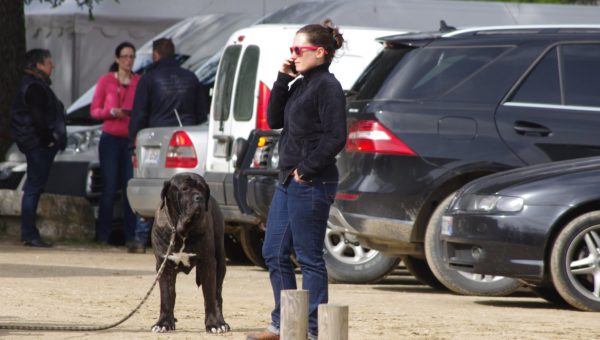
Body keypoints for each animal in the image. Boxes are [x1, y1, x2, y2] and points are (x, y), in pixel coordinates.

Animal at [151, 171, 229, 334]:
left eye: (202, 188)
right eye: (185, 188)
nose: (199, 197)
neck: (182, 230)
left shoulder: (208, 264)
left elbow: (209, 296)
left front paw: (213, 324)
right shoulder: (164, 265)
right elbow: (166, 296)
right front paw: (163, 323)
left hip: (220, 261)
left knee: (217, 295)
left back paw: (222, 323)